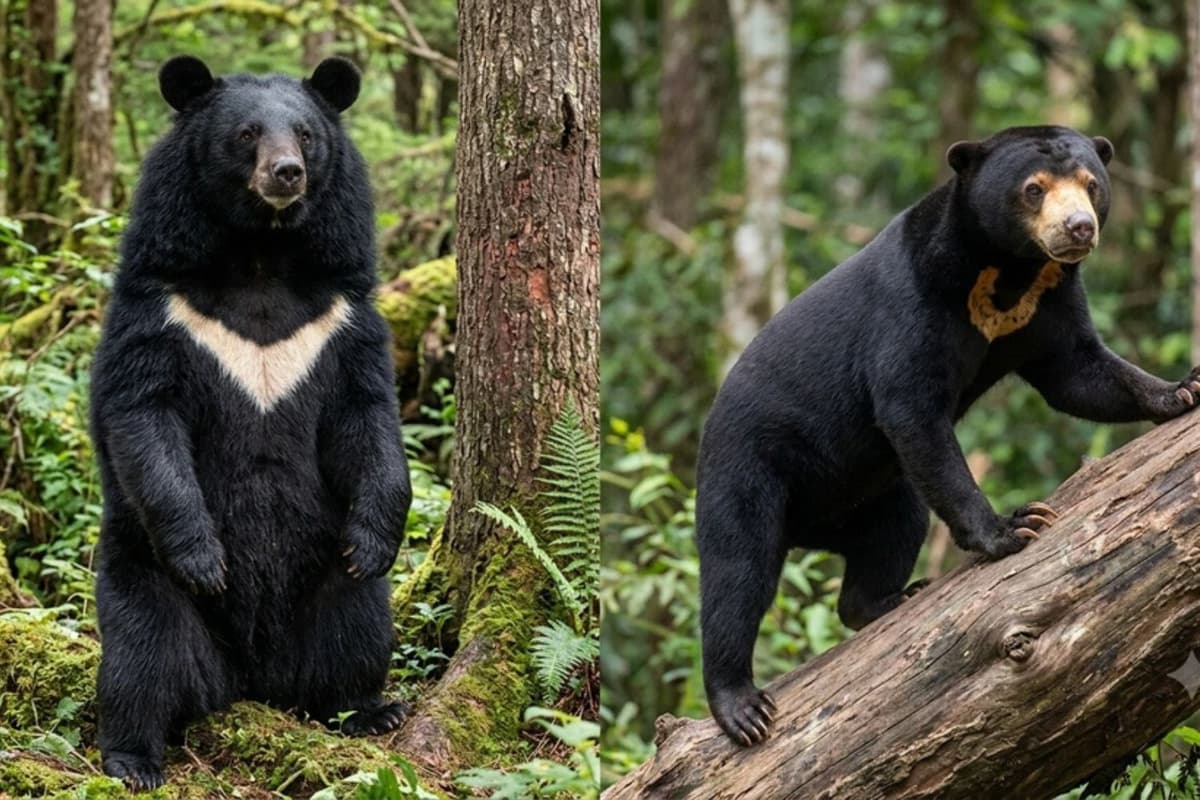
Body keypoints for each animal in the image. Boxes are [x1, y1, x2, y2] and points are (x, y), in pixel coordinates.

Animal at [89, 55, 412, 790]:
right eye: (245, 135)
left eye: (307, 136)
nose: (286, 174)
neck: (261, 253)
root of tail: (250, 677)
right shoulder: (161, 306)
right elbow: (144, 412)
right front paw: (206, 559)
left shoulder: (340, 316)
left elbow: (368, 413)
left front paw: (378, 538)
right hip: (138, 562)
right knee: (141, 656)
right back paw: (133, 757)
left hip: (323, 564)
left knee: (356, 624)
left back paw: (369, 709)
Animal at [696, 125, 1200, 747]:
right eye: (1033, 189)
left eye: (1091, 184)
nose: (1079, 228)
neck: (1008, 270)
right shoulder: (913, 303)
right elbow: (911, 407)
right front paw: (1014, 527)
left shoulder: (1046, 303)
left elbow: (1079, 373)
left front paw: (1182, 390)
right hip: (749, 469)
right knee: (739, 571)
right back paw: (741, 706)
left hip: (873, 494)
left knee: (894, 528)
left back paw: (888, 599)